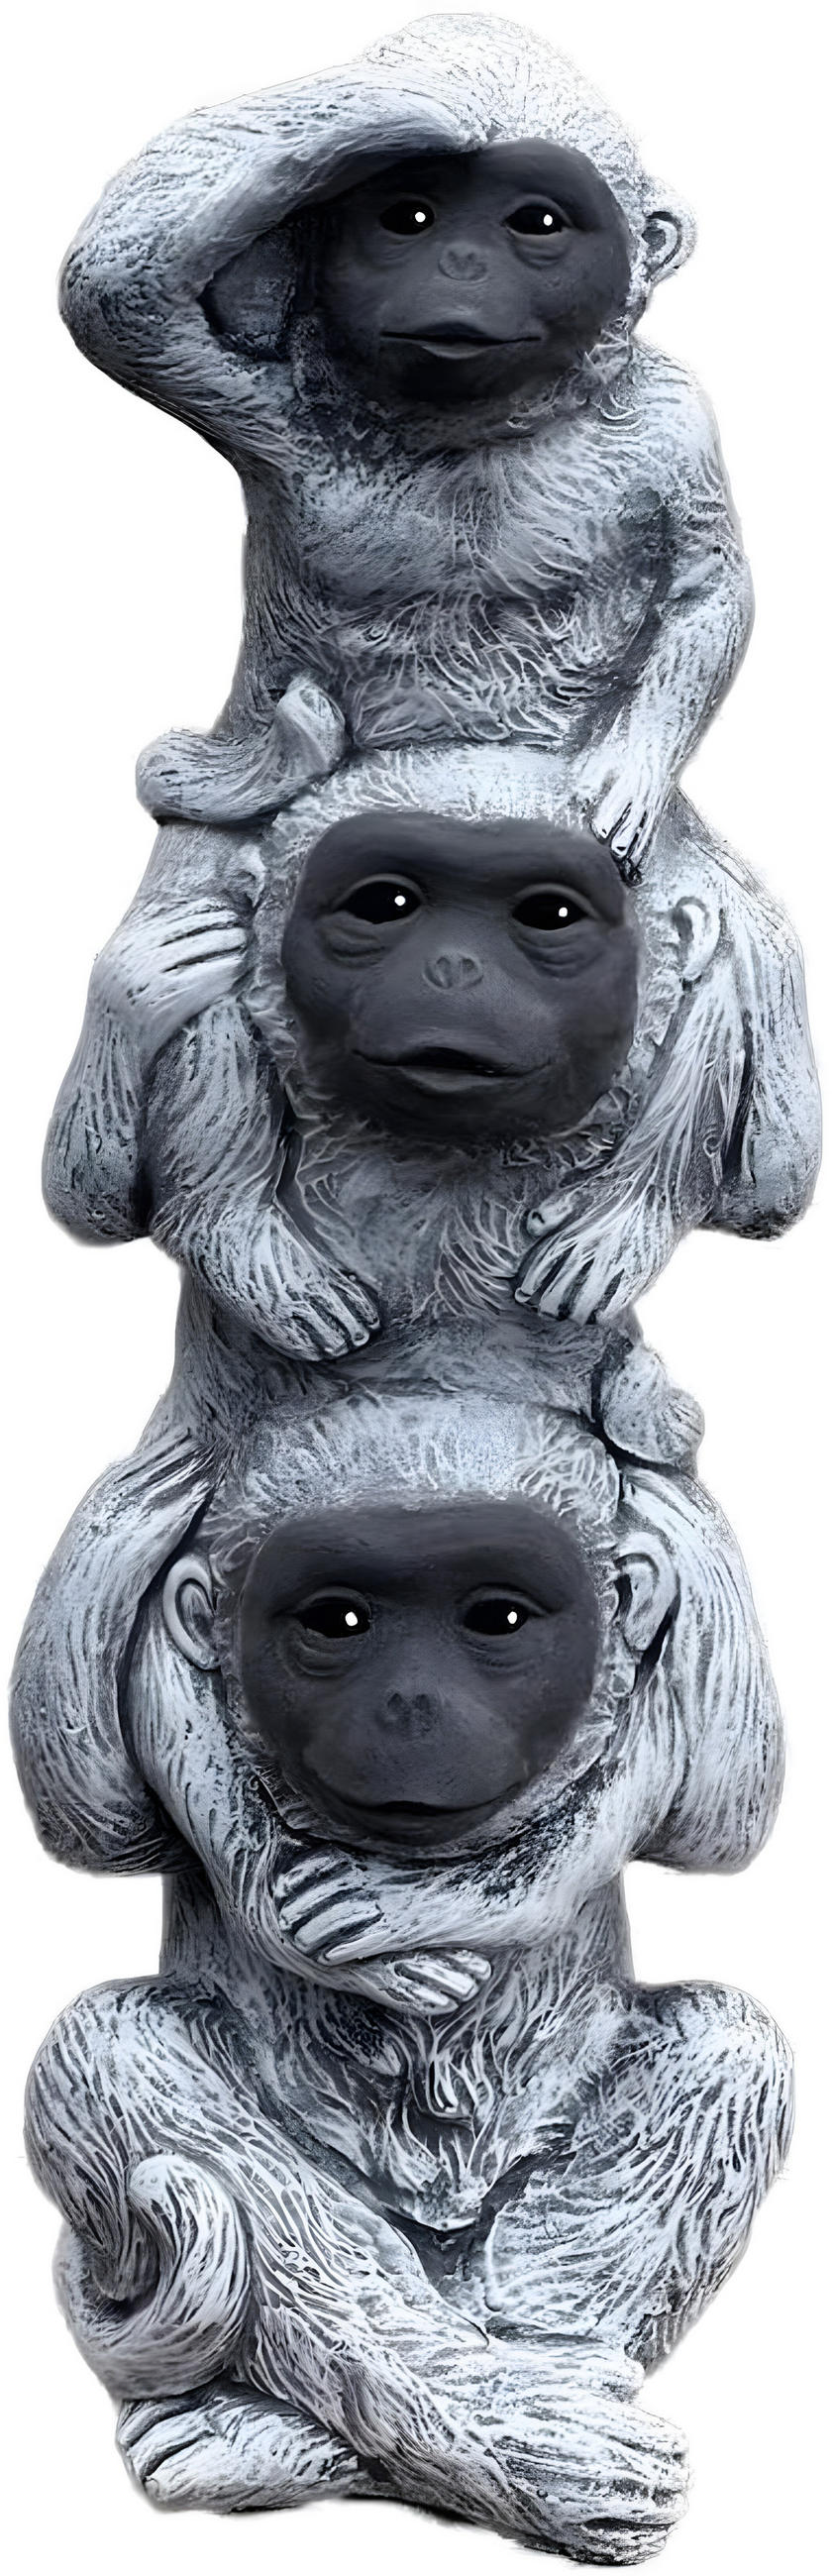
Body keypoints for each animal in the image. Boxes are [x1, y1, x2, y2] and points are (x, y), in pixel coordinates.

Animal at [17, 1328, 790, 2548]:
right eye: (337, 1621)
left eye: (497, 1620)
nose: (410, 1704)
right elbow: (90, 1813)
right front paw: (152, 1487)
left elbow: (723, 1814)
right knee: (111, 2055)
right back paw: (480, 2438)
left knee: (731, 2051)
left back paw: (533, 2406)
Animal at [43, 741, 820, 1346]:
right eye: (385, 904)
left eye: (551, 914)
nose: (453, 966)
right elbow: (87, 1201)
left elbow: (775, 1184)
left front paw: (622, 1227)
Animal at [60, 12, 751, 857]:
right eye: (409, 218)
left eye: (538, 222)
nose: (460, 263)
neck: (478, 418)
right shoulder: (265, 404)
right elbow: (119, 298)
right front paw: (426, 92)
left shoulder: (675, 419)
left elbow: (708, 585)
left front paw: (632, 774)